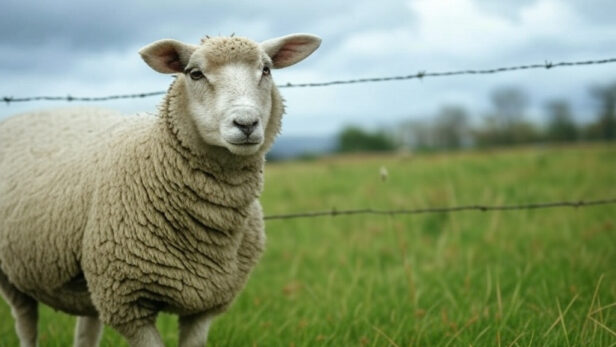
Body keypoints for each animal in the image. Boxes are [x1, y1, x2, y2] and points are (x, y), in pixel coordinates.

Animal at [1, 32, 322, 347]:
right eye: (195, 73)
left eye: (266, 70)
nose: (246, 123)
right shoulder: (128, 303)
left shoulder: (205, 304)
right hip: (15, 277)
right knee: (26, 324)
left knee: (87, 330)